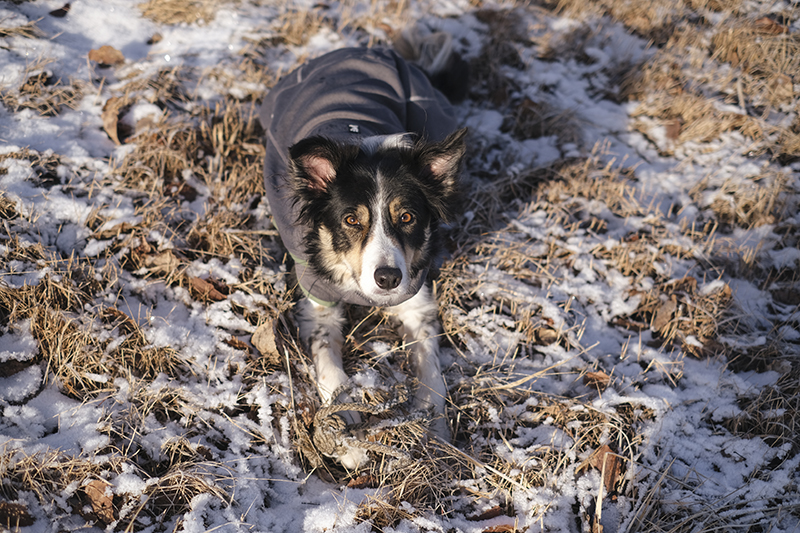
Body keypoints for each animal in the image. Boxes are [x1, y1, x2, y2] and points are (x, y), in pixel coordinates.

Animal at [260, 41, 466, 468]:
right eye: (352, 219)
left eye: (407, 217)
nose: (387, 278)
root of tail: (360, 49)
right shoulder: (316, 302)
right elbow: (329, 367)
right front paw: (347, 434)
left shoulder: (416, 296)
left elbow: (432, 374)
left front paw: (434, 428)